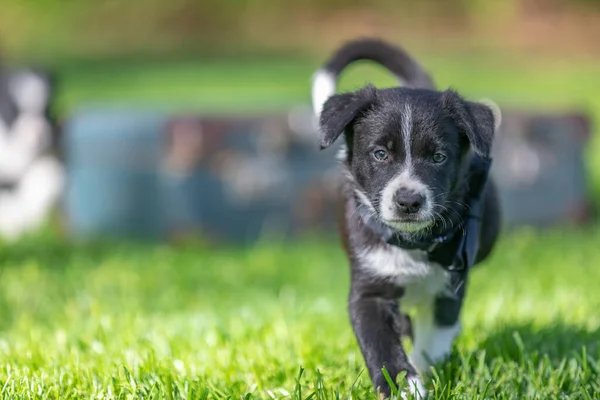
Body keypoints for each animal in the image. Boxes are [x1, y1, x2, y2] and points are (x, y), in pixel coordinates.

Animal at [312, 39, 504, 398]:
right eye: (380, 154)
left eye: (439, 157)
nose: (408, 201)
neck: (413, 243)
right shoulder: (369, 290)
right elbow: (380, 343)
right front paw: (402, 385)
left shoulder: (450, 287)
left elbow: (434, 340)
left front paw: (422, 371)